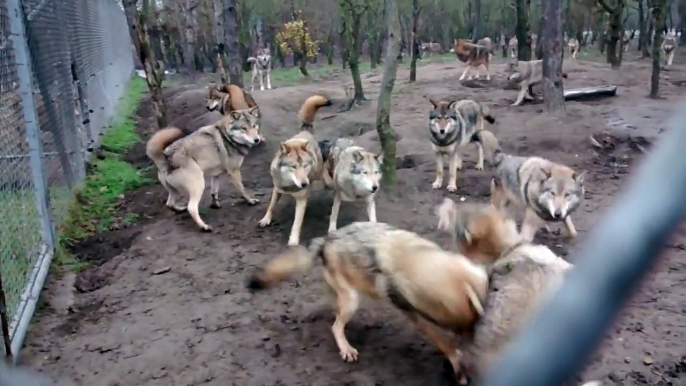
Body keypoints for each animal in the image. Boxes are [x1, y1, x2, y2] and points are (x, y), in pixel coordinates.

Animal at [245, 220, 492, 382]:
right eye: (464, 328)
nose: (475, 341)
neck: (412, 259)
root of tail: (325, 239)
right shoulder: (416, 316)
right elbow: (446, 344)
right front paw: (458, 364)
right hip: (352, 300)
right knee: (335, 327)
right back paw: (346, 348)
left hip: (347, 295)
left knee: (334, 312)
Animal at [258, 94, 334, 244]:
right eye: (293, 167)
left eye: (305, 166)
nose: (305, 184)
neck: (289, 185)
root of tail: (305, 131)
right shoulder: (277, 189)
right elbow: (271, 206)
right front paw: (265, 219)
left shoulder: (301, 200)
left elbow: (296, 224)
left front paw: (293, 242)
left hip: (325, 179)